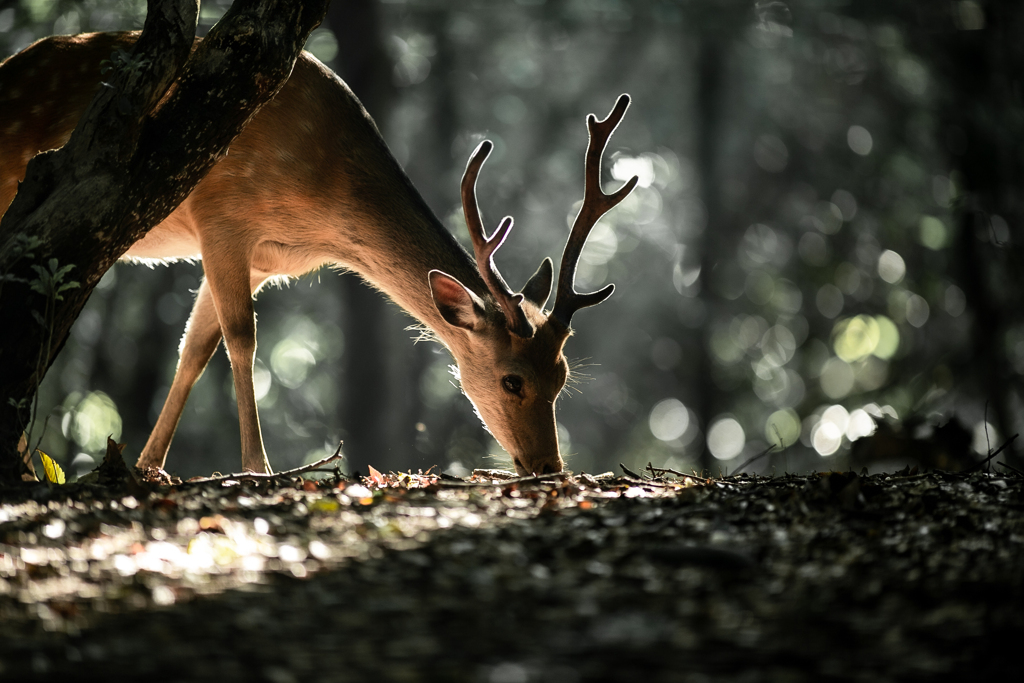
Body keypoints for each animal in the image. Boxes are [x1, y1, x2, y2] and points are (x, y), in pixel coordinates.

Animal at [0, 31, 634, 479]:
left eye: (562, 378)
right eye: (511, 380)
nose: (550, 465)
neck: (322, 205)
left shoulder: (263, 259)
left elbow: (194, 350)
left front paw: (146, 467)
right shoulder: (220, 217)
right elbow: (241, 339)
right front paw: (257, 467)